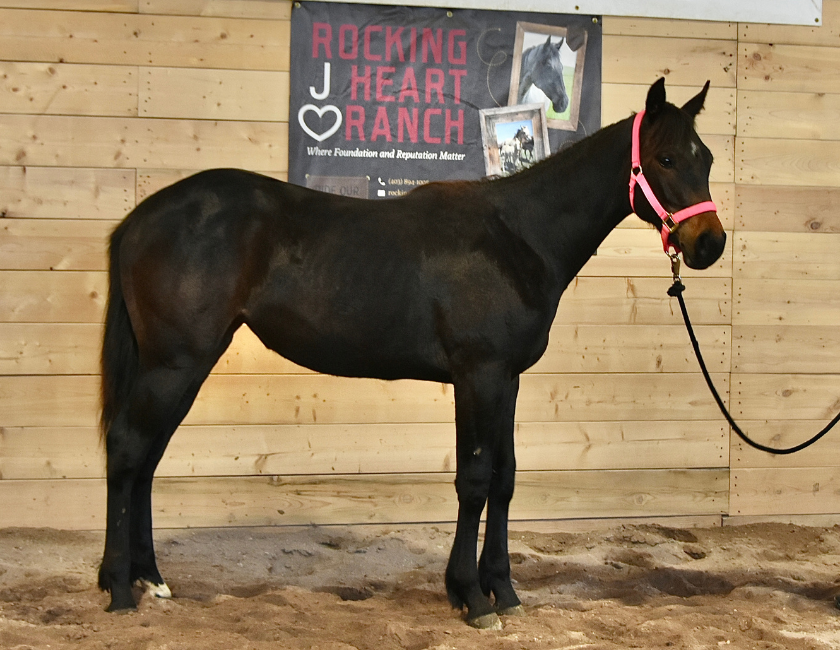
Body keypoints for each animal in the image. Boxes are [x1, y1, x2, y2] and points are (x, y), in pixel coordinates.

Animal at [97, 78, 725, 629]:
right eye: (667, 159)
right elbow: (474, 479)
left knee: (147, 460)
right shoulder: (478, 375)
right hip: (173, 364)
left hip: (184, 367)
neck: (517, 236)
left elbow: (505, 479)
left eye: (709, 159)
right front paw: (472, 597)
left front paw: (503, 590)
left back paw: (151, 579)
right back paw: (118, 588)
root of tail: (139, 219)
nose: (710, 245)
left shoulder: (507, 379)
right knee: (128, 450)